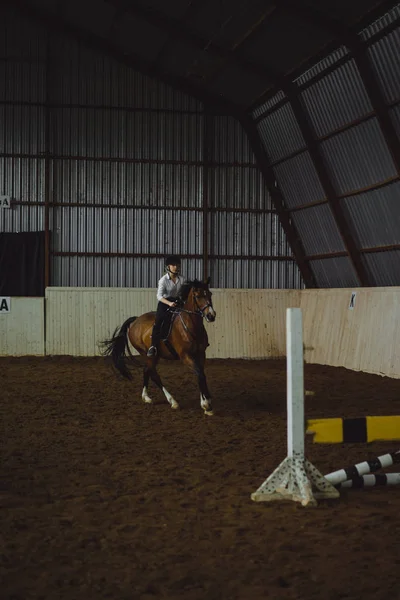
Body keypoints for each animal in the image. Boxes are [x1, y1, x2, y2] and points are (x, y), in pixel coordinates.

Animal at [101, 278, 217, 414]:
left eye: (210, 294)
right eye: (198, 296)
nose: (211, 315)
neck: (190, 326)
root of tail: (135, 320)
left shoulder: (200, 353)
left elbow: (201, 374)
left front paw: (206, 402)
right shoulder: (185, 356)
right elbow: (199, 373)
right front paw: (206, 404)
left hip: (155, 355)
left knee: (146, 370)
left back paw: (146, 397)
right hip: (146, 353)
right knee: (153, 374)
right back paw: (173, 401)